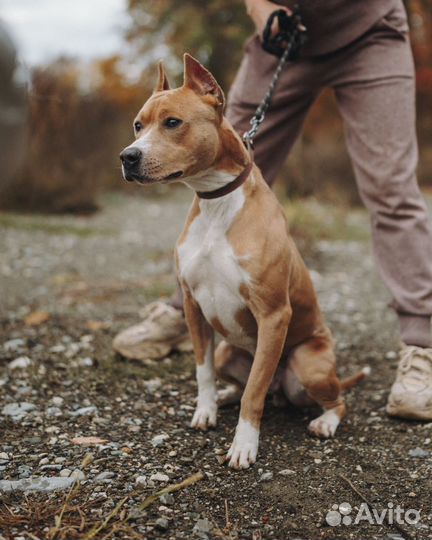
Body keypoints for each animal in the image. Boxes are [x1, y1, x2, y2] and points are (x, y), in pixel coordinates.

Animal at [119, 53, 368, 468]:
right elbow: (203, 371)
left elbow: (255, 390)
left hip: (309, 365)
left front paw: (244, 445)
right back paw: (225, 398)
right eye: (138, 125)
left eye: (173, 123)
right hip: (227, 352)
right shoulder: (193, 306)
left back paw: (324, 421)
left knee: (331, 400)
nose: (128, 156)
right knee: (243, 380)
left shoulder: (273, 314)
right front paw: (205, 410)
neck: (216, 201)